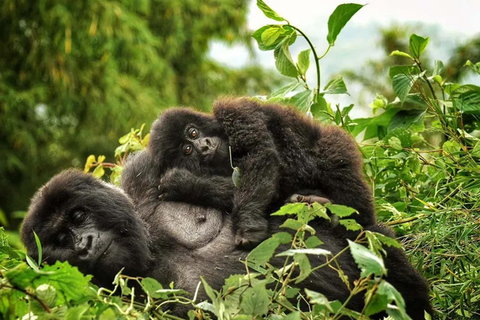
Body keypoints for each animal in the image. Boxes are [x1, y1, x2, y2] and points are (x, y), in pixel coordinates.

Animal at [149, 97, 376, 245]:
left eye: (193, 132)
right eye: (187, 150)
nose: (204, 147)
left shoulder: (235, 112)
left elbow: (260, 154)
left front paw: (248, 226)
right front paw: (186, 185)